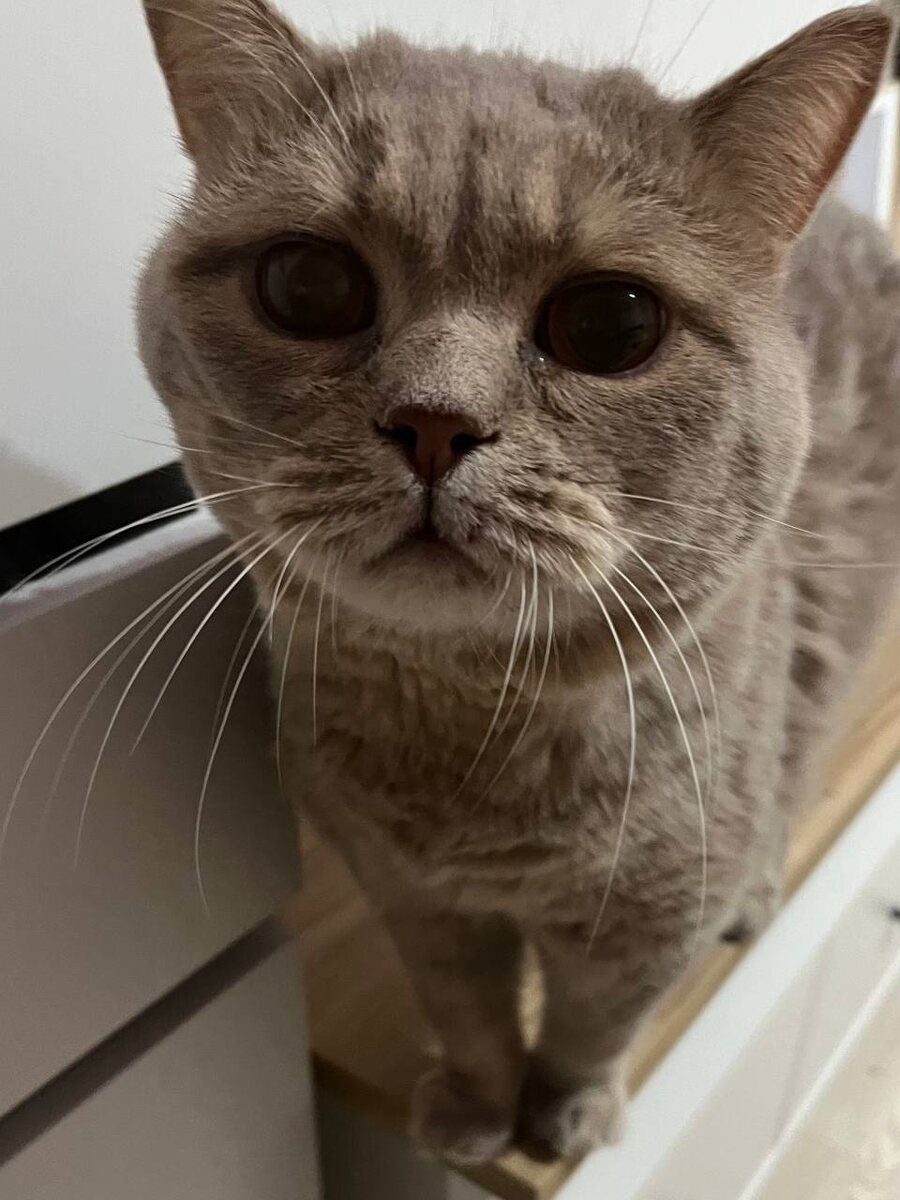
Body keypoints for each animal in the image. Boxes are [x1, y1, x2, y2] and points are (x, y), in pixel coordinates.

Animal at [137, 0, 900, 1166]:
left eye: (614, 324)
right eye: (307, 285)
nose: (433, 423)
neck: (474, 742)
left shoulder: (649, 916)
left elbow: (595, 1023)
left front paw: (566, 1119)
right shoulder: (414, 899)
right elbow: (468, 1012)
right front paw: (476, 1113)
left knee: (793, 762)